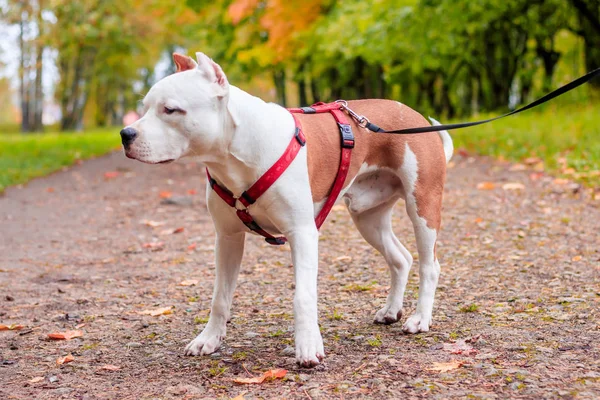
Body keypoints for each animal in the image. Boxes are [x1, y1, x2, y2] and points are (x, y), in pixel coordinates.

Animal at [119, 51, 452, 368]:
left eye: (171, 110)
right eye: (145, 108)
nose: (125, 134)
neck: (234, 154)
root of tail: (413, 114)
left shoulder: (302, 233)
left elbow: (302, 296)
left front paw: (308, 347)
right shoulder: (227, 238)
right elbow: (220, 297)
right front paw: (209, 339)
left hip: (422, 206)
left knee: (429, 265)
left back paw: (420, 319)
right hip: (368, 217)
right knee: (400, 258)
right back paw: (391, 310)